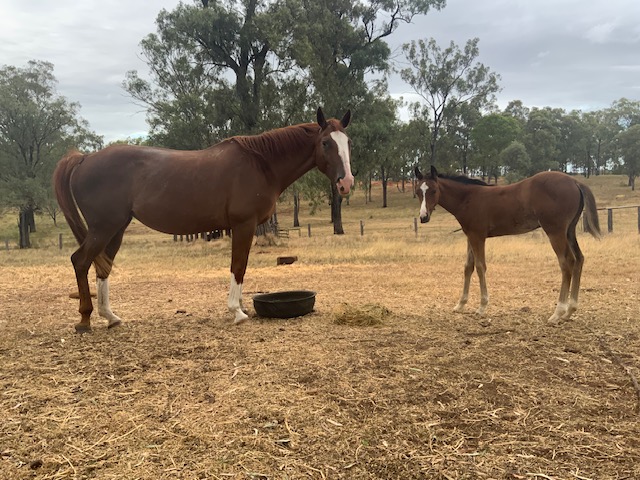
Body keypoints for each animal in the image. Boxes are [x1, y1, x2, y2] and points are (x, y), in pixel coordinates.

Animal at [54, 108, 353, 332]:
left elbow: (241, 267)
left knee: (101, 266)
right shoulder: (243, 224)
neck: (260, 163)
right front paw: (237, 312)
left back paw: (111, 317)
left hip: (115, 228)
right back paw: (85, 320)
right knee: (80, 261)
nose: (346, 183)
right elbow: (238, 267)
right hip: (103, 227)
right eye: (326, 143)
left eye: (347, 143)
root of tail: (85, 158)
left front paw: (241, 306)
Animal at [414, 165, 601, 323]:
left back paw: (558, 312)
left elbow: (480, 267)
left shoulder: (477, 236)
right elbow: (468, 267)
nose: (423, 217)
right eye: (418, 192)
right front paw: (460, 304)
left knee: (566, 262)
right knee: (579, 259)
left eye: (433, 190)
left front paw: (482, 306)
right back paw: (570, 310)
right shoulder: (470, 235)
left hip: (555, 231)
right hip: (569, 230)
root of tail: (575, 182)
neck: (468, 198)